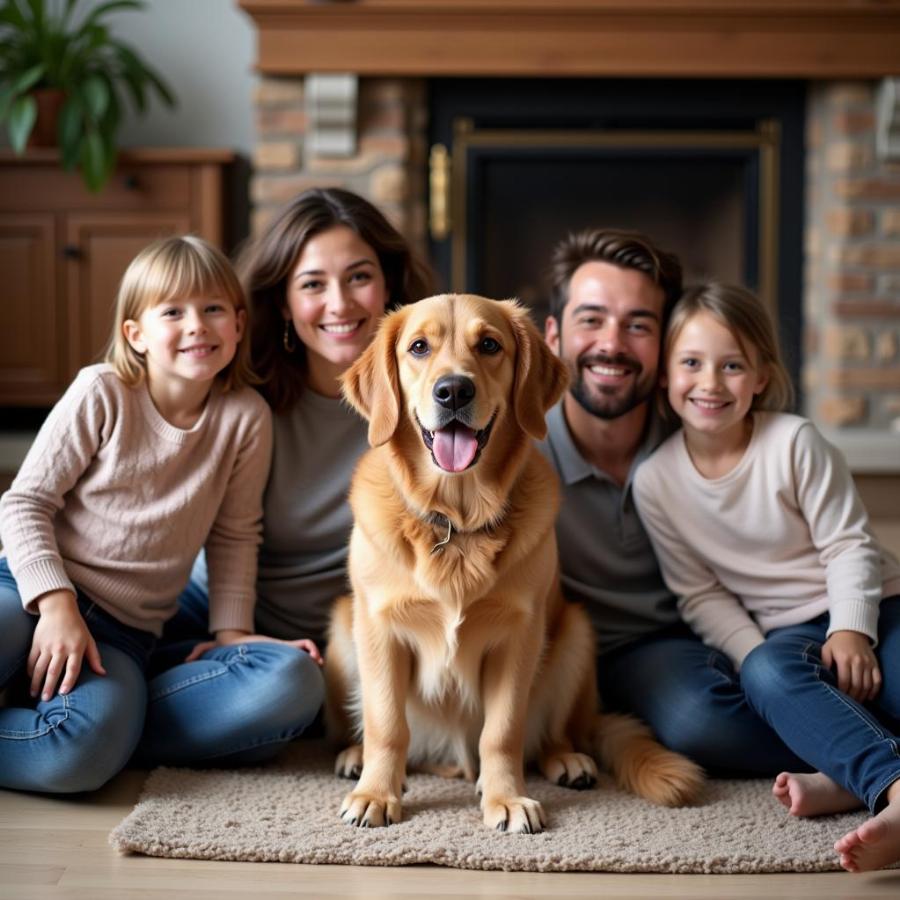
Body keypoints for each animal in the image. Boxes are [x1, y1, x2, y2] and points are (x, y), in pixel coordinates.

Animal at [326, 294, 708, 828]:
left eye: (490, 345)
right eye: (418, 347)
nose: (453, 391)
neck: (456, 521)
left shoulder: (519, 634)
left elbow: (502, 731)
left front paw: (505, 798)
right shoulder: (379, 627)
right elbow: (386, 724)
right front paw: (377, 793)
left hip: (575, 635)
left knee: (552, 735)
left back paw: (565, 761)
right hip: (343, 630)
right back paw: (356, 756)